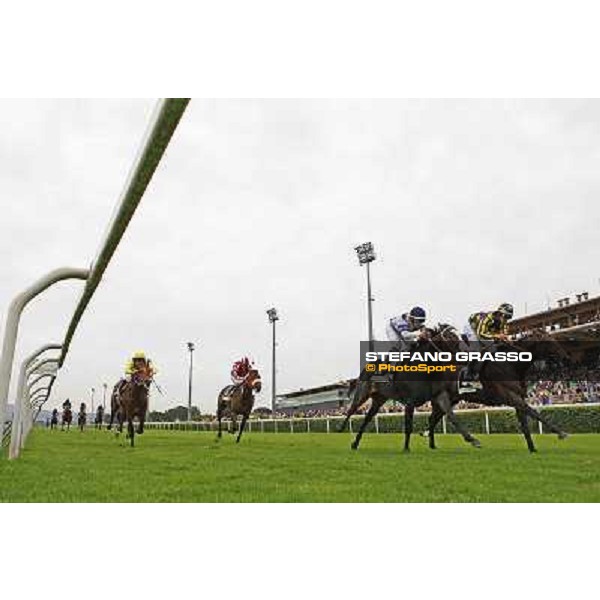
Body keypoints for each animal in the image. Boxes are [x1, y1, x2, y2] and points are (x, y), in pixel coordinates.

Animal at [340, 326, 480, 452]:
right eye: (451, 339)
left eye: (459, 339)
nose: (465, 357)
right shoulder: (410, 402)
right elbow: (409, 426)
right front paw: (406, 448)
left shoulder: (438, 395)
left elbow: (450, 416)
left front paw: (472, 439)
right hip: (362, 394)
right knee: (351, 410)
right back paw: (341, 429)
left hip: (379, 399)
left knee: (367, 419)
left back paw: (355, 443)